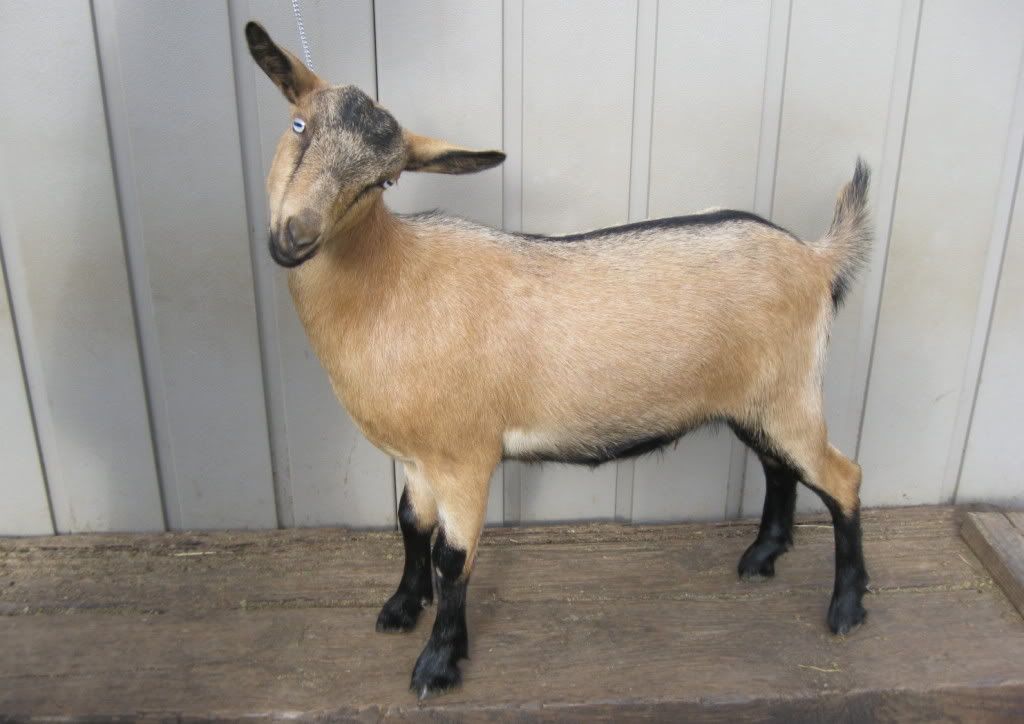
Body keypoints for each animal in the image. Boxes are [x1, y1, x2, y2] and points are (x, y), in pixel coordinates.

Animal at [245, 22, 871, 699]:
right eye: (299, 125)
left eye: (382, 181)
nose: (295, 236)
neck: (390, 279)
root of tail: (817, 258)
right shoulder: (416, 459)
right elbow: (410, 524)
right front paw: (400, 608)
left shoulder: (465, 456)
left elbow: (451, 557)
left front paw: (438, 664)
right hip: (756, 398)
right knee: (780, 468)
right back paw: (760, 559)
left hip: (793, 392)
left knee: (842, 477)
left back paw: (846, 608)